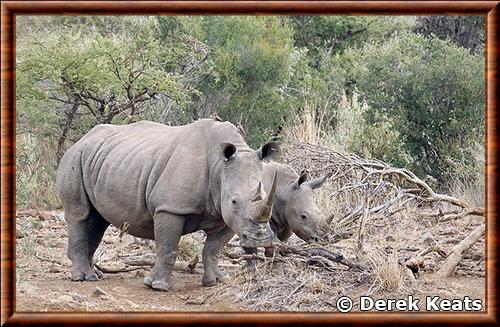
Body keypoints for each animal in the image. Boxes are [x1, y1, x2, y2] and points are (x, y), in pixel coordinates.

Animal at [57, 119, 282, 290]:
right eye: (235, 201)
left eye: (263, 195)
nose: (260, 240)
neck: (219, 167)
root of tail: (82, 139)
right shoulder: (170, 207)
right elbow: (168, 247)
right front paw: (157, 286)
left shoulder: (225, 214)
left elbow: (213, 248)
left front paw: (217, 281)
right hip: (75, 157)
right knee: (80, 214)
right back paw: (84, 278)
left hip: (103, 160)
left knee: (98, 219)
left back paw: (95, 274)